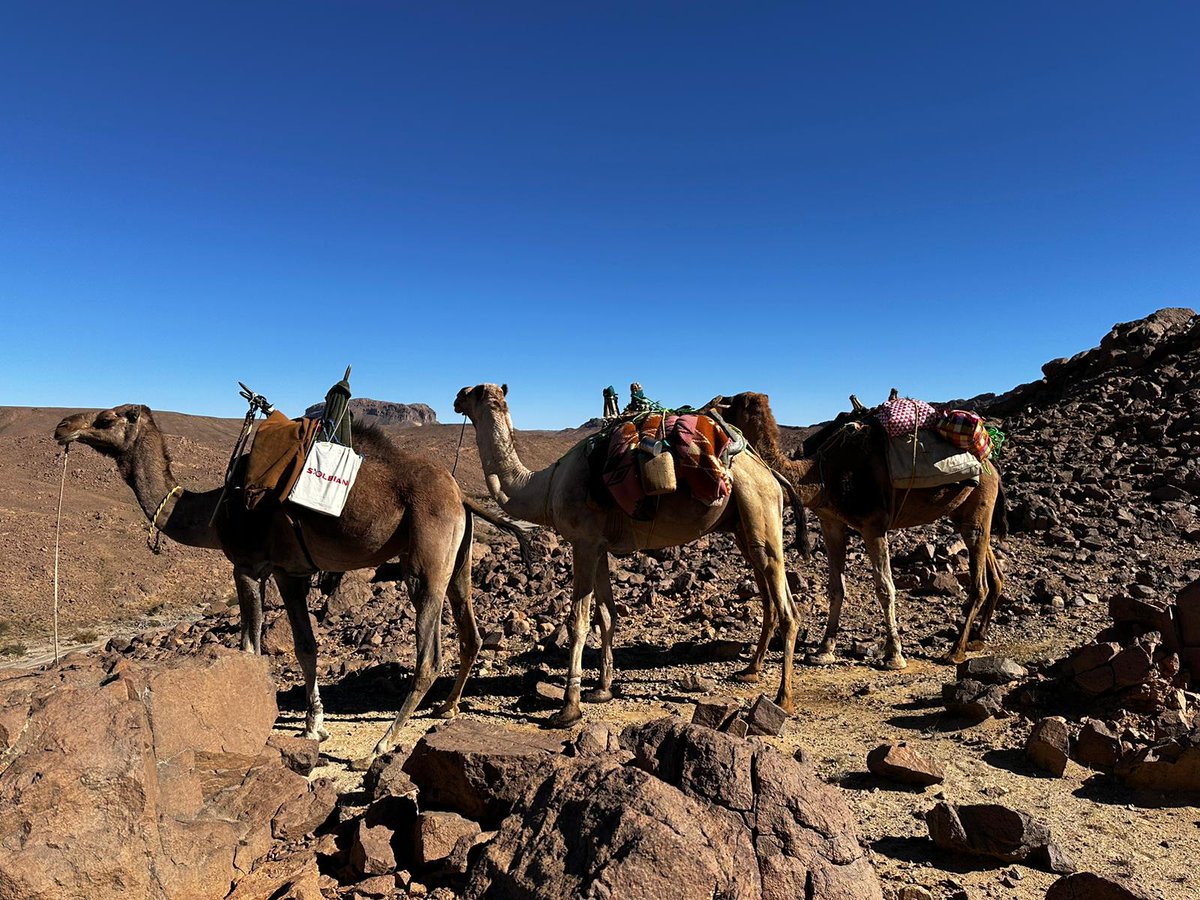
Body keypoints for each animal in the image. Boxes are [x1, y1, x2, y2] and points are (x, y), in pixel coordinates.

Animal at [54, 403, 526, 759]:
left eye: (106, 418)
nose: (63, 427)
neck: (216, 511)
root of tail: (460, 494)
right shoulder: (289, 571)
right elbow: (305, 646)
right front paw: (314, 726)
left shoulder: (247, 565)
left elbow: (250, 646)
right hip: (457, 560)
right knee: (470, 632)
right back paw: (447, 709)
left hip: (426, 557)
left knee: (428, 657)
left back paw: (382, 744)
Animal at [453, 383, 801, 727]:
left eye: (473, 392)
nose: (456, 398)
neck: (545, 487)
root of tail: (770, 473)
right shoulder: (599, 546)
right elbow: (607, 615)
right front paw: (602, 690)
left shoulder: (583, 543)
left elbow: (578, 621)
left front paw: (568, 709)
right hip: (744, 523)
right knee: (777, 590)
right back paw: (750, 672)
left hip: (757, 506)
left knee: (785, 605)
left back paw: (783, 698)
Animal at [714, 392, 1005, 668]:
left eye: (732, 402)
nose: (711, 404)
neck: (820, 475)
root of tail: (991, 464)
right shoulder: (831, 523)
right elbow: (836, 588)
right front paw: (823, 650)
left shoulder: (873, 525)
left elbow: (885, 588)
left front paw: (894, 655)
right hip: (965, 512)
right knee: (992, 568)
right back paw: (977, 638)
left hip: (979, 504)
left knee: (979, 582)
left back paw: (956, 650)